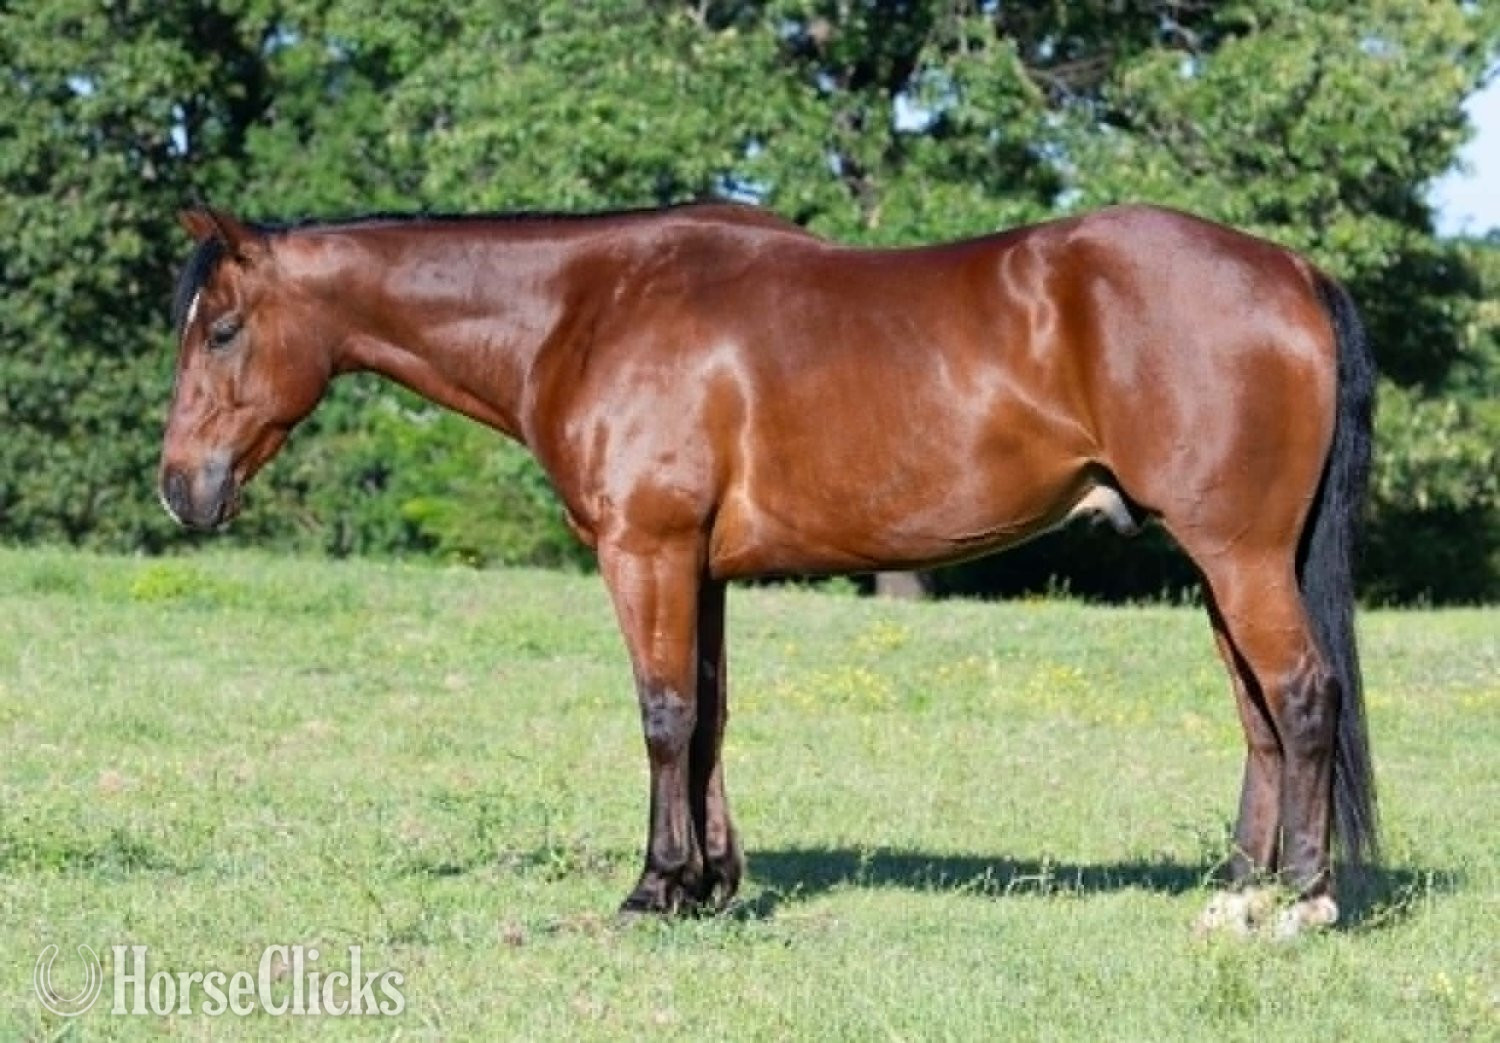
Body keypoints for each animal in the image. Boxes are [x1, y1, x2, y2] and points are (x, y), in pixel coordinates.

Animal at [158, 200, 1377, 937]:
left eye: (221, 330)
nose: (181, 486)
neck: (585, 309)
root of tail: (1292, 269)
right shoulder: (698, 566)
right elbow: (707, 714)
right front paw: (711, 882)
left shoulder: (644, 549)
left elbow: (661, 712)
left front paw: (655, 887)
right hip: (1220, 563)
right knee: (1259, 713)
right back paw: (1239, 892)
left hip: (1238, 554)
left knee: (1301, 694)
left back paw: (1302, 900)